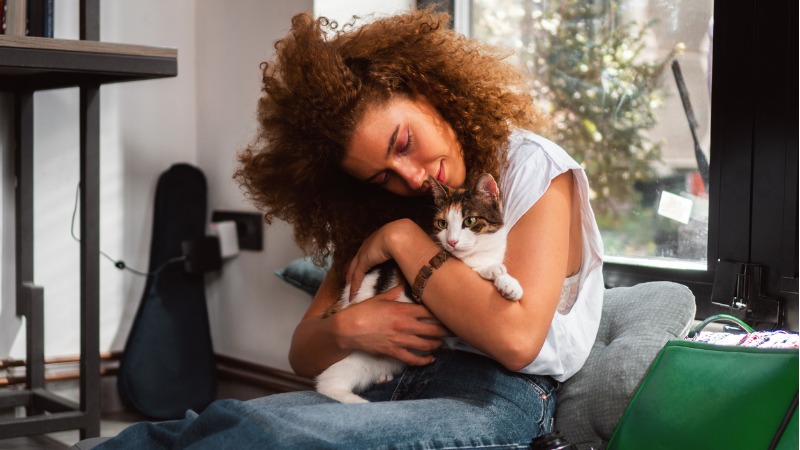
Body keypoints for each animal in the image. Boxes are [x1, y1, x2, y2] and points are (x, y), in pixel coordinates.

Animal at [316, 173, 520, 404]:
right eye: (442, 223)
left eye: (470, 221)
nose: (452, 241)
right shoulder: (411, 291)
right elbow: (471, 267)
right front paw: (490, 269)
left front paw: (508, 284)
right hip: (356, 353)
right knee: (327, 383)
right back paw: (358, 402)